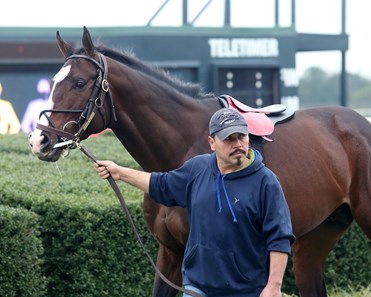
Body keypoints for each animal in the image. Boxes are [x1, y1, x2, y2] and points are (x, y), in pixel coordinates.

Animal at [29, 26, 371, 294]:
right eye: (54, 81)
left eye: (79, 83)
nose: (39, 140)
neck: (181, 150)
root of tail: (360, 122)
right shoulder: (169, 252)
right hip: (315, 239)